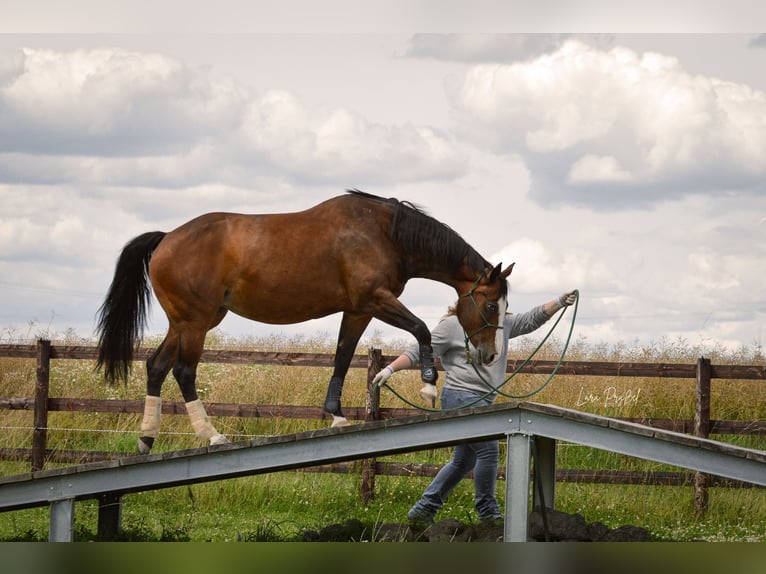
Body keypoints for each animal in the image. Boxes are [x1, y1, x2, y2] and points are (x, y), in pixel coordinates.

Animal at [95, 189, 513, 453]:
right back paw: (211, 436)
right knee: (183, 371)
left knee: (156, 366)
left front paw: (337, 417)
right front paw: (427, 387)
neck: (384, 233)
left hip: (187, 322)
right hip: (196, 324)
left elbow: (343, 356)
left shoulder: (358, 309)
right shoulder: (376, 300)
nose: (490, 356)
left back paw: (147, 438)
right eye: (492, 305)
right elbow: (421, 329)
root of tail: (167, 238)